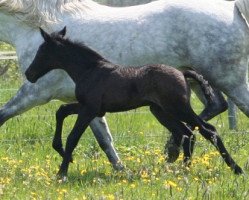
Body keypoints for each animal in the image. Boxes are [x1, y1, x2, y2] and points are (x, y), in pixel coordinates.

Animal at [24, 26, 241, 178]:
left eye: (41, 51)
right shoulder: (90, 108)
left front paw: (62, 172)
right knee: (187, 132)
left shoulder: (89, 109)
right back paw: (184, 169)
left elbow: (73, 137)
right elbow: (61, 110)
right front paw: (62, 154)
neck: (90, 71)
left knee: (207, 130)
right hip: (161, 111)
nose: (29, 74)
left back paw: (236, 168)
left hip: (178, 108)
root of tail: (182, 73)